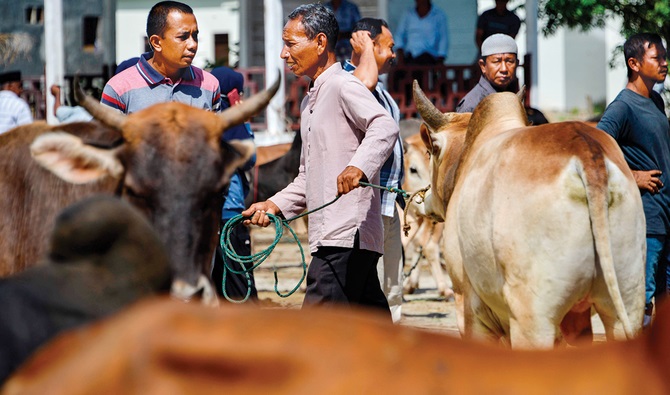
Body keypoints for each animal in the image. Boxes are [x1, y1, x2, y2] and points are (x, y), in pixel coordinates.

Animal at [414, 81, 652, 350]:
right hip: (627, 302)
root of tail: (586, 153)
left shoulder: (469, 306)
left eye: (431, 151)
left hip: (533, 318)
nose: (424, 197)